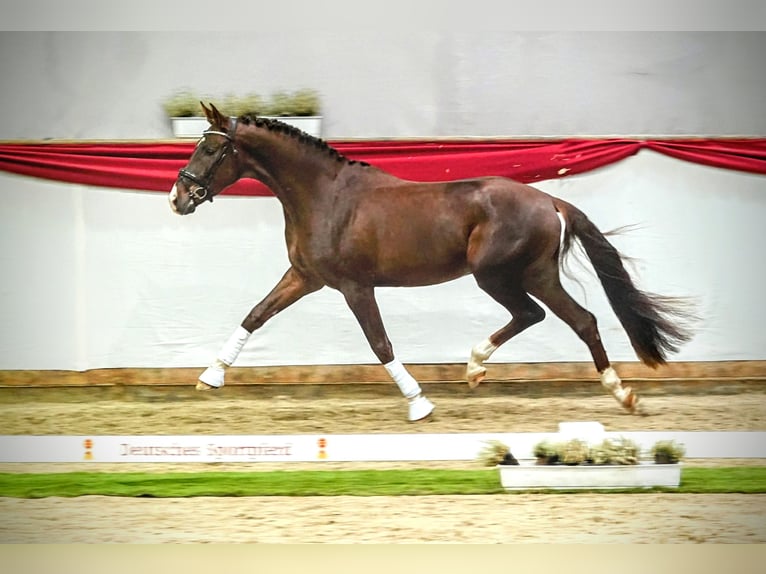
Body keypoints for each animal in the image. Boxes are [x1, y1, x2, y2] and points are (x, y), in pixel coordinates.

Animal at [170, 103, 696, 424]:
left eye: (211, 147)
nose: (178, 198)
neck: (325, 197)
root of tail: (550, 201)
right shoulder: (305, 277)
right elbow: (255, 315)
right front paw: (209, 378)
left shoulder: (355, 287)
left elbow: (380, 343)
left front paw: (420, 403)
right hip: (534, 274)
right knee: (574, 319)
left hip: (498, 275)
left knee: (546, 315)